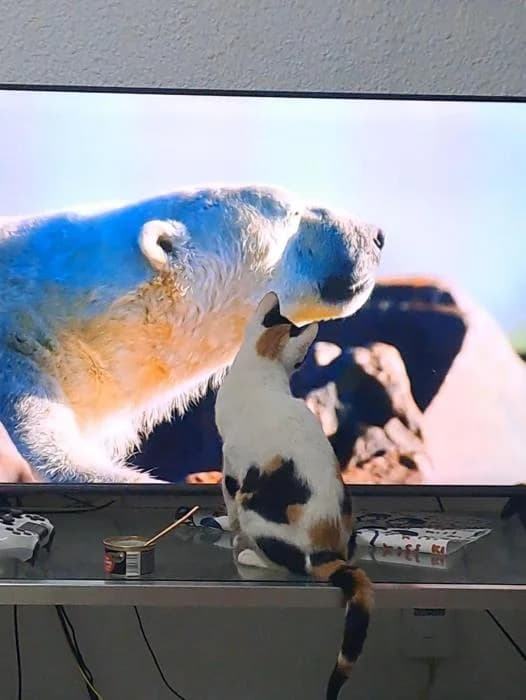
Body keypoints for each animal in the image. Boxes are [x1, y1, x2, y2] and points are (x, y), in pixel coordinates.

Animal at [214, 291, 373, 700]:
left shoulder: (230, 465)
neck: (262, 369)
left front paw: (226, 527)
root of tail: (329, 550)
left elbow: (227, 504)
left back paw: (251, 554)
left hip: (254, 504)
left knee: (286, 564)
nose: (303, 363)